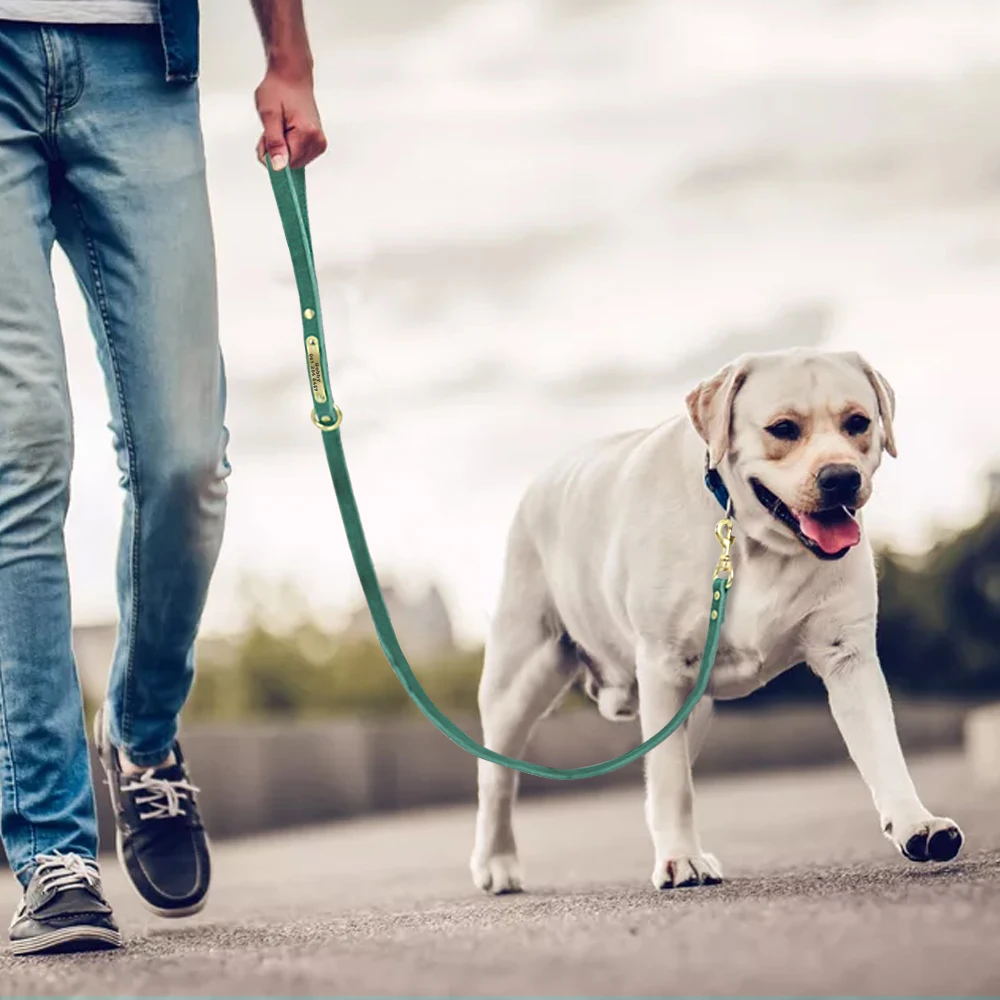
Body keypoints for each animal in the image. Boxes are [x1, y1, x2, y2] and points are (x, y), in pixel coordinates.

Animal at [472, 350, 964, 892]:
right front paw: (679, 858)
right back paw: (496, 862)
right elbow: (672, 782)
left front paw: (917, 824)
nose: (841, 477)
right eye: (783, 428)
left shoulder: (847, 655)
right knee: (497, 777)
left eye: (858, 422)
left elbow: (883, 749)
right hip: (520, 676)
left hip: (696, 705)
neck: (754, 541)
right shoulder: (664, 664)